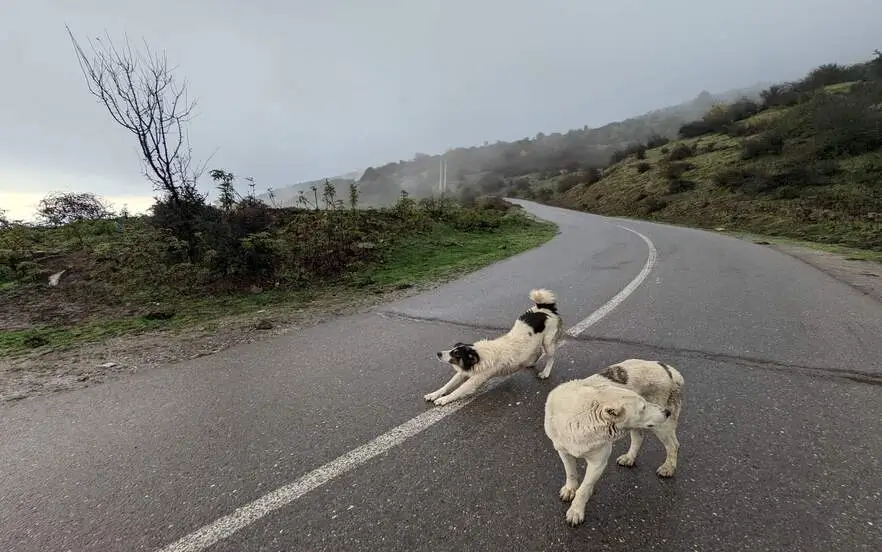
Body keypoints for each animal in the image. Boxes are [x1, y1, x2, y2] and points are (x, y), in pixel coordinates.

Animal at [426, 288, 564, 406]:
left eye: (456, 354)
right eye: (452, 349)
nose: (438, 353)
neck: (478, 354)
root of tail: (545, 308)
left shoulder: (474, 380)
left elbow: (457, 391)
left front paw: (443, 399)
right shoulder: (463, 372)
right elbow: (447, 385)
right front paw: (434, 394)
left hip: (548, 342)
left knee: (550, 357)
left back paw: (545, 372)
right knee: (538, 351)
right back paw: (530, 363)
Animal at [540, 358, 684, 528]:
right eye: (643, 407)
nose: (666, 412)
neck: (580, 419)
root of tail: (667, 368)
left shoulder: (598, 462)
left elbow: (584, 488)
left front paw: (576, 510)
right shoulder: (563, 451)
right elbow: (570, 473)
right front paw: (570, 489)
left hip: (662, 427)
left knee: (673, 445)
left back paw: (668, 468)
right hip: (636, 425)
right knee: (638, 438)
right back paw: (629, 458)